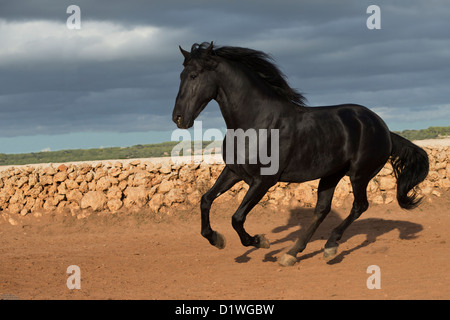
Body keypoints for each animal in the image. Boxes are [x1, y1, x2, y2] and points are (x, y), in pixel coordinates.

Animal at [172, 43, 428, 268]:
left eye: (193, 75)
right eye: (180, 76)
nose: (178, 118)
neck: (256, 122)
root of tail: (384, 129)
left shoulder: (264, 181)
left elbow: (237, 218)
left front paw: (260, 241)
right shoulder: (234, 172)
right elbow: (206, 200)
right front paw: (216, 239)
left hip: (359, 175)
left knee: (359, 206)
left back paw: (330, 247)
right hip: (331, 175)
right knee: (322, 210)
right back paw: (292, 254)